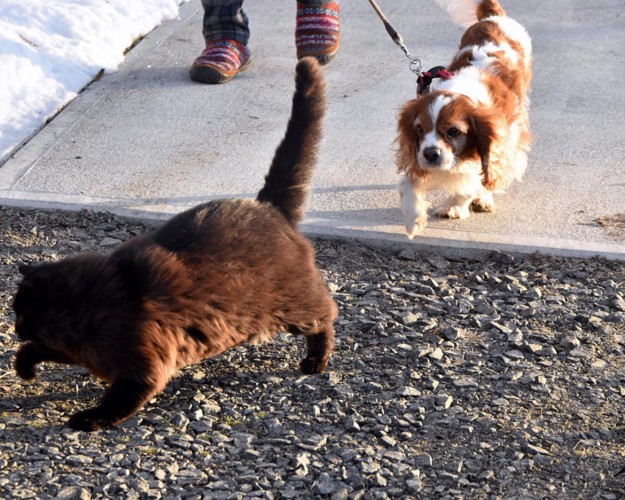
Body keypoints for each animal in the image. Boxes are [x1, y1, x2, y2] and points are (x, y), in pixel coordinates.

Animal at [398, 0, 528, 237]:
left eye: (453, 131)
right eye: (419, 129)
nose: (430, 154)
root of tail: (494, 18)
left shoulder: (496, 138)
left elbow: (475, 179)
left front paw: (455, 206)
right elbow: (409, 184)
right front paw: (414, 219)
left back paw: (484, 198)